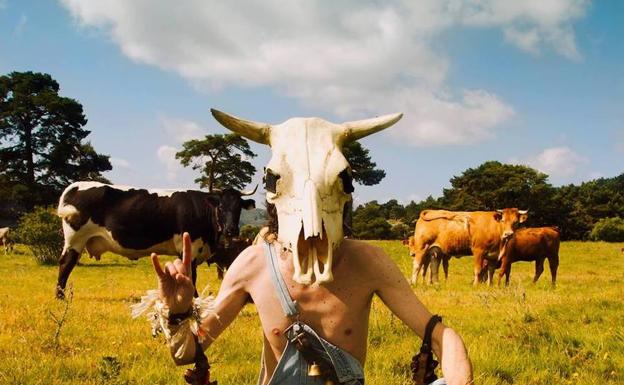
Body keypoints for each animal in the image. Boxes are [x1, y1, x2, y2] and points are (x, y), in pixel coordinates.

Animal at [55, 182, 256, 298]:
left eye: (239, 207)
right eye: (221, 207)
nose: (231, 229)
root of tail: (76, 185)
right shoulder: (189, 247)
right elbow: (191, 275)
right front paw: (195, 299)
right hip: (75, 239)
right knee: (66, 264)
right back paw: (60, 296)